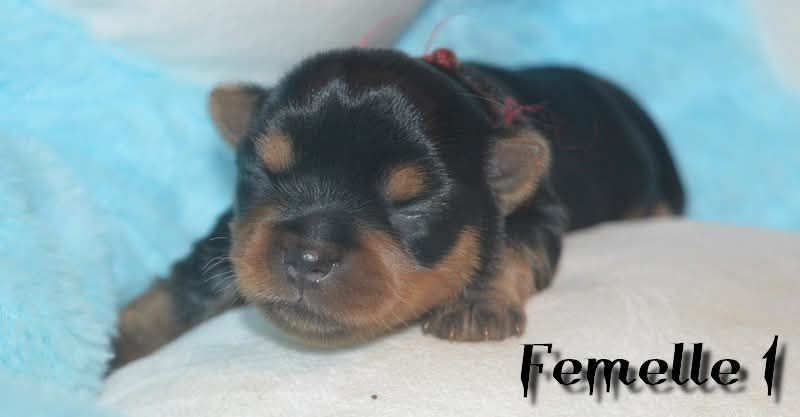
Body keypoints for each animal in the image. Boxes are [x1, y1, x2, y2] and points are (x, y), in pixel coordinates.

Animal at [110, 47, 684, 369]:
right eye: (266, 174)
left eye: (410, 204)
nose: (307, 259)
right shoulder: (233, 231)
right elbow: (187, 285)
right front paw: (116, 344)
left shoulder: (538, 209)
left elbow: (510, 248)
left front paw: (475, 304)